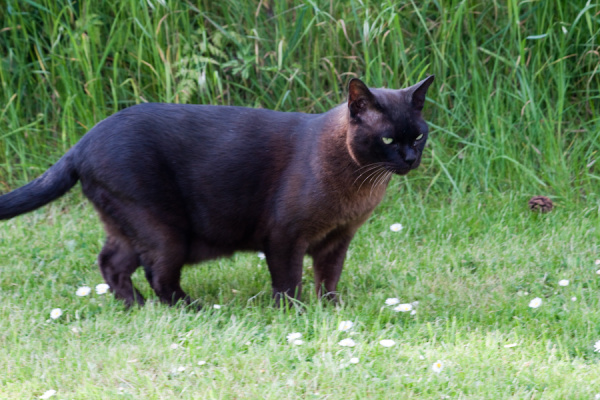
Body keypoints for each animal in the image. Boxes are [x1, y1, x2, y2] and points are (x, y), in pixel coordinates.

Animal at [0, 76, 434, 308]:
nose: (410, 158)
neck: (359, 188)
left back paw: (135, 307)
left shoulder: (337, 240)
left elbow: (328, 280)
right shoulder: (285, 237)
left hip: (129, 225)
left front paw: (332, 312)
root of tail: (82, 143)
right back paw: (195, 309)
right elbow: (288, 283)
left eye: (418, 135)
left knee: (111, 263)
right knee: (158, 275)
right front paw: (295, 315)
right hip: (165, 230)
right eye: (388, 138)